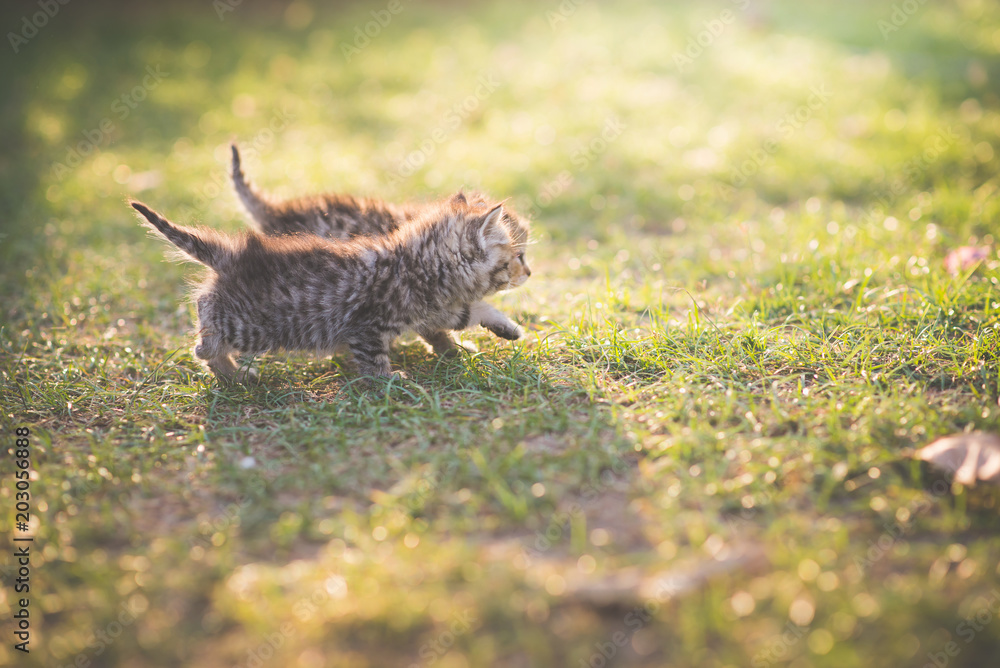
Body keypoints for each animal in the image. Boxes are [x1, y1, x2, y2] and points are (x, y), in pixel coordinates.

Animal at [133, 197, 532, 386]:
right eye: (518, 257)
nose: (529, 272)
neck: (419, 264)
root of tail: (232, 255)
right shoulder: (369, 324)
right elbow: (373, 359)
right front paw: (390, 382)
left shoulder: (434, 309)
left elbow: (470, 312)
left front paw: (508, 328)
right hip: (250, 326)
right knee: (203, 335)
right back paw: (231, 373)